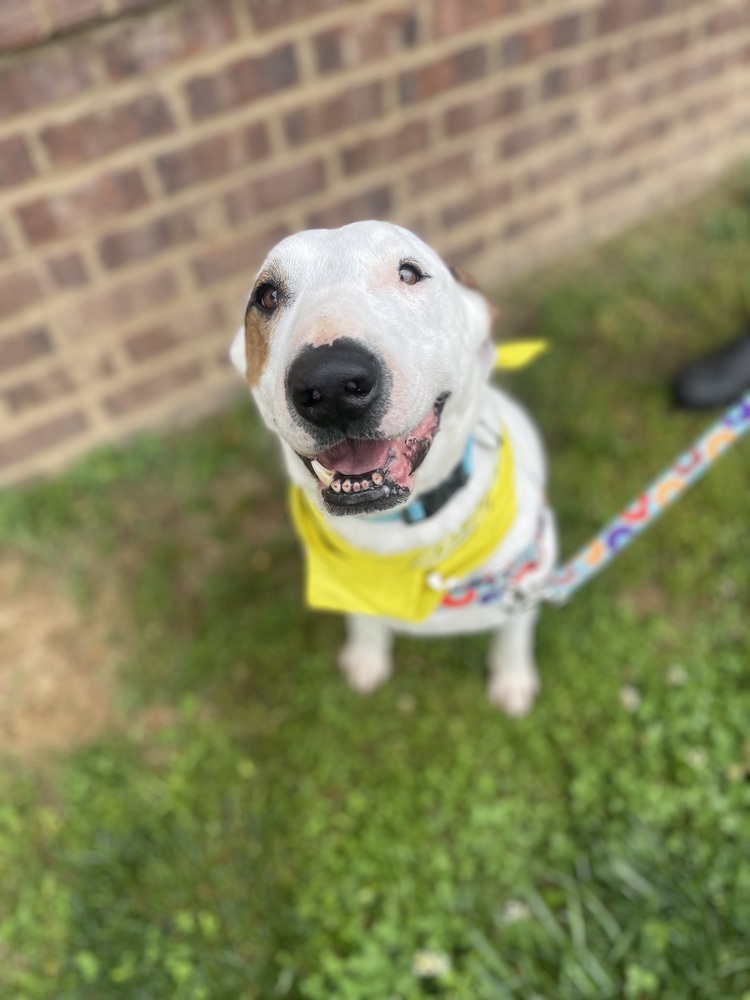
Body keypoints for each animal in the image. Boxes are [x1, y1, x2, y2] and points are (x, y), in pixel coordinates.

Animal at [231, 223, 560, 716]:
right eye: (266, 296)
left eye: (409, 273)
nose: (331, 383)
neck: (403, 532)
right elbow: (364, 622)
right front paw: (367, 659)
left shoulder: (528, 577)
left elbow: (514, 635)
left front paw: (512, 680)